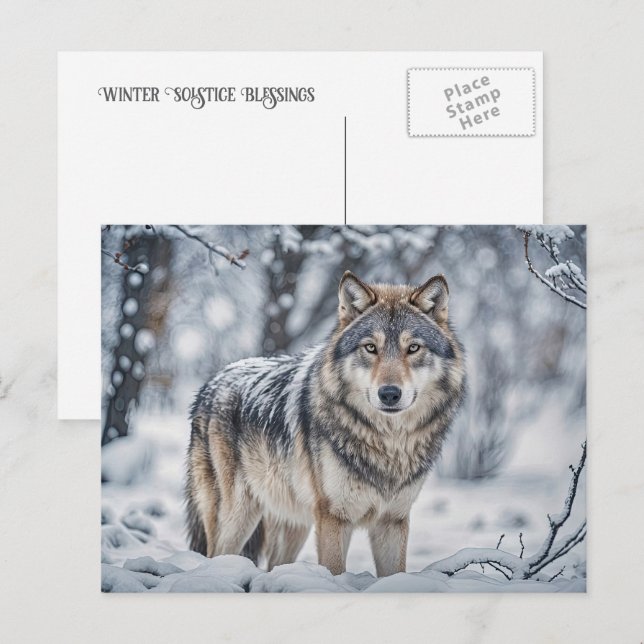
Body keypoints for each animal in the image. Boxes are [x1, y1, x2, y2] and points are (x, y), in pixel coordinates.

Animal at [185, 271, 465, 577]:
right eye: (370, 347)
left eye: (413, 348)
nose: (389, 393)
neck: (388, 443)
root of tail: (211, 382)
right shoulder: (333, 516)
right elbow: (334, 569)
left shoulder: (393, 520)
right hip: (238, 516)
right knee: (215, 555)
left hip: (294, 523)